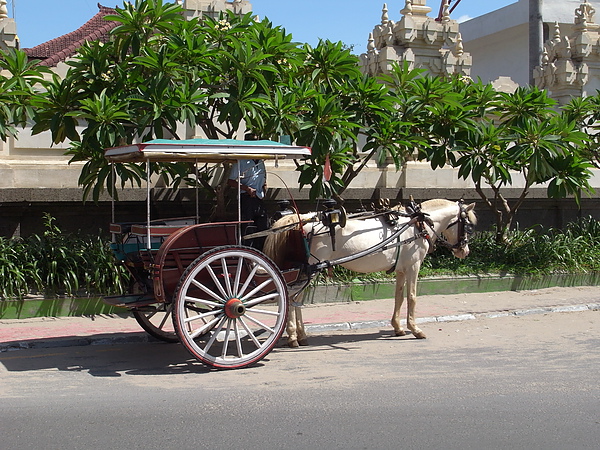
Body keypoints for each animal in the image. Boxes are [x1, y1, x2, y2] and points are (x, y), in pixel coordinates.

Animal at [264, 198, 476, 348]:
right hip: (311, 269)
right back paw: (294, 335)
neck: (417, 223)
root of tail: (301, 220)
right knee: (293, 299)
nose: (464, 251)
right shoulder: (413, 266)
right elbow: (412, 297)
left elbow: (399, 297)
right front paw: (415, 329)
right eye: (468, 225)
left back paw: (300, 335)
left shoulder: (401, 270)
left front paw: (398, 327)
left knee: (295, 300)